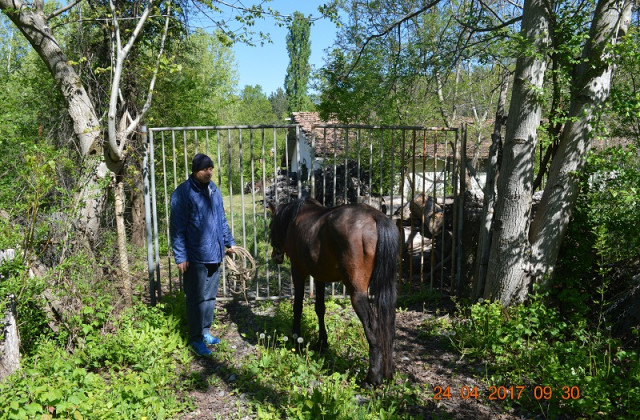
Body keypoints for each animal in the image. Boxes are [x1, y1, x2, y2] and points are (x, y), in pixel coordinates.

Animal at [266, 197, 398, 384]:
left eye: (272, 226)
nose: (275, 256)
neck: (294, 218)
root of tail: (375, 217)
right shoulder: (320, 276)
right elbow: (320, 308)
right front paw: (322, 343)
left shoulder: (298, 270)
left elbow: (298, 306)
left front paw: (296, 339)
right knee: (388, 325)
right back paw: (388, 373)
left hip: (357, 293)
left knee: (373, 326)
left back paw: (372, 378)